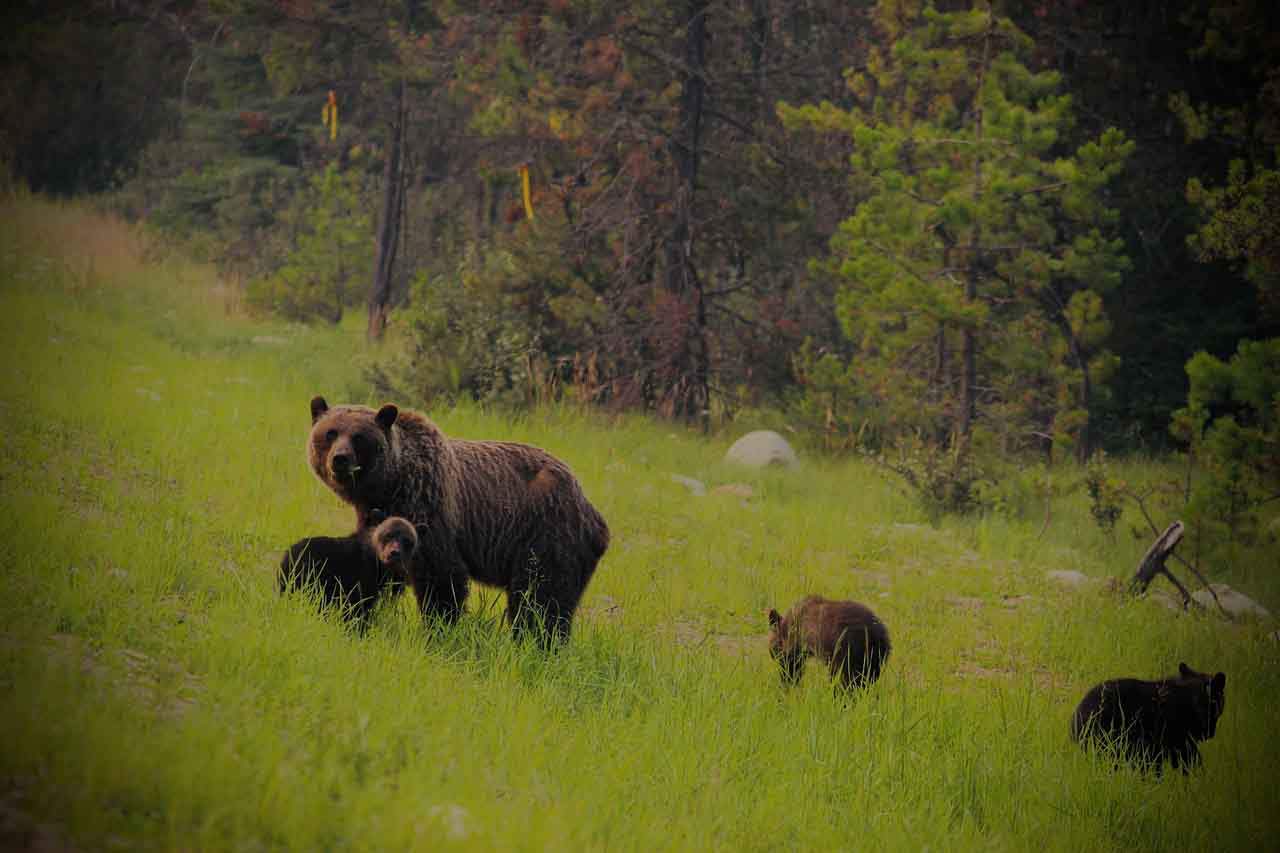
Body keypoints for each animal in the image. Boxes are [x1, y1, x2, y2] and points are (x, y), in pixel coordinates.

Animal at [307, 394, 611, 640]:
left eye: (359, 436)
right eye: (331, 432)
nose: (340, 459)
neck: (390, 485)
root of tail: (593, 513)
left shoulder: (430, 509)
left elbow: (441, 578)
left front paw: (438, 629)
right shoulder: (378, 519)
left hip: (547, 535)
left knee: (541, 599)